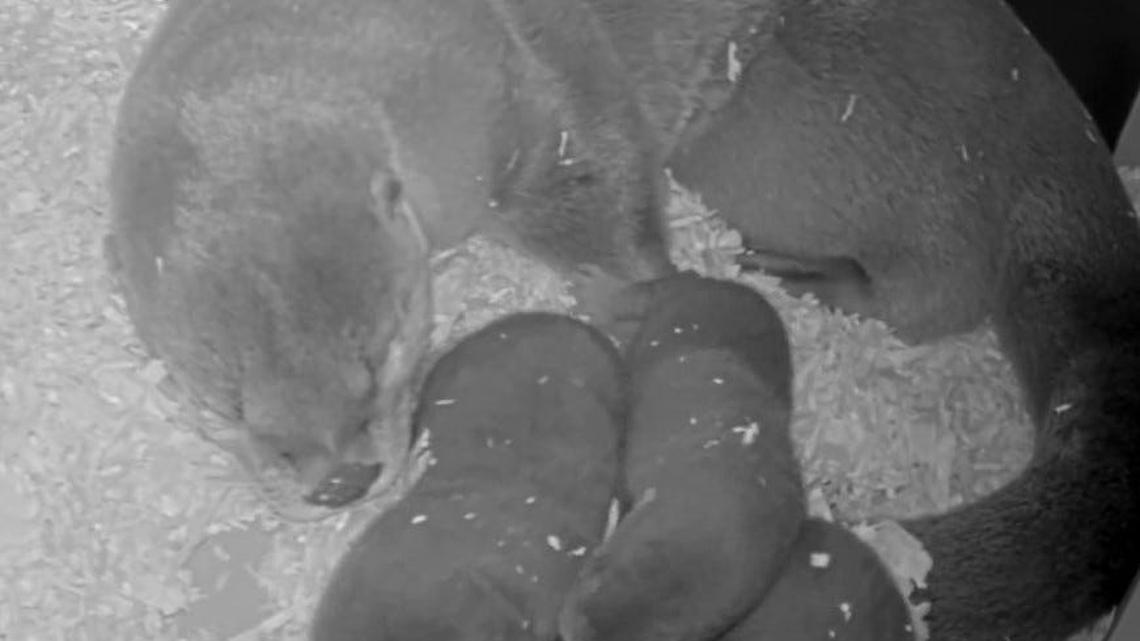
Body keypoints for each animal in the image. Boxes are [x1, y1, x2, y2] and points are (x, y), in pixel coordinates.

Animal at [559, 274, 804, 641]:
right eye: (596, 574)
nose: (567, 628)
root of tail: (725, 283)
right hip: (677, 292)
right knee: (644, 291)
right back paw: (596, 292)